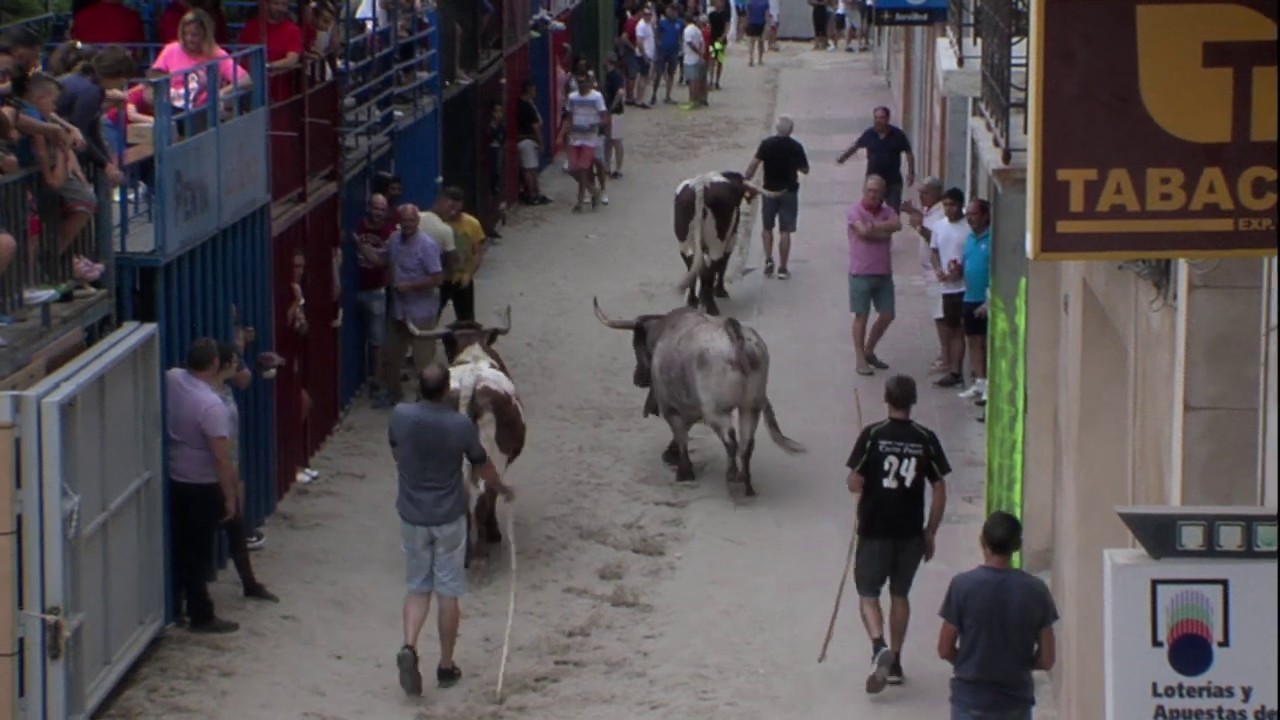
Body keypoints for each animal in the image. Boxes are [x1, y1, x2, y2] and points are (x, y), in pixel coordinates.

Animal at [593, 295, 803, 491]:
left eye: (637, 346)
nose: (637, 379)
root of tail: (736, 337)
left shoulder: (671, 407)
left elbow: (681, 435)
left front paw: (683, 470)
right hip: (751, 407)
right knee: (747, 443)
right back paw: (746, 483)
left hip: (717, 410)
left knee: (730, 439)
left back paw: (732, 477)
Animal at [670, 169, 778, 315]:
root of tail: (700, 184)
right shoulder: (730, 240)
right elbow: (723, 265)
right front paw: (720, 291)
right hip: (717, 242)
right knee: (710, 268)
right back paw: (710, 306)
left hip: (685, 242)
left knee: (694, 265)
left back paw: (693, 300)